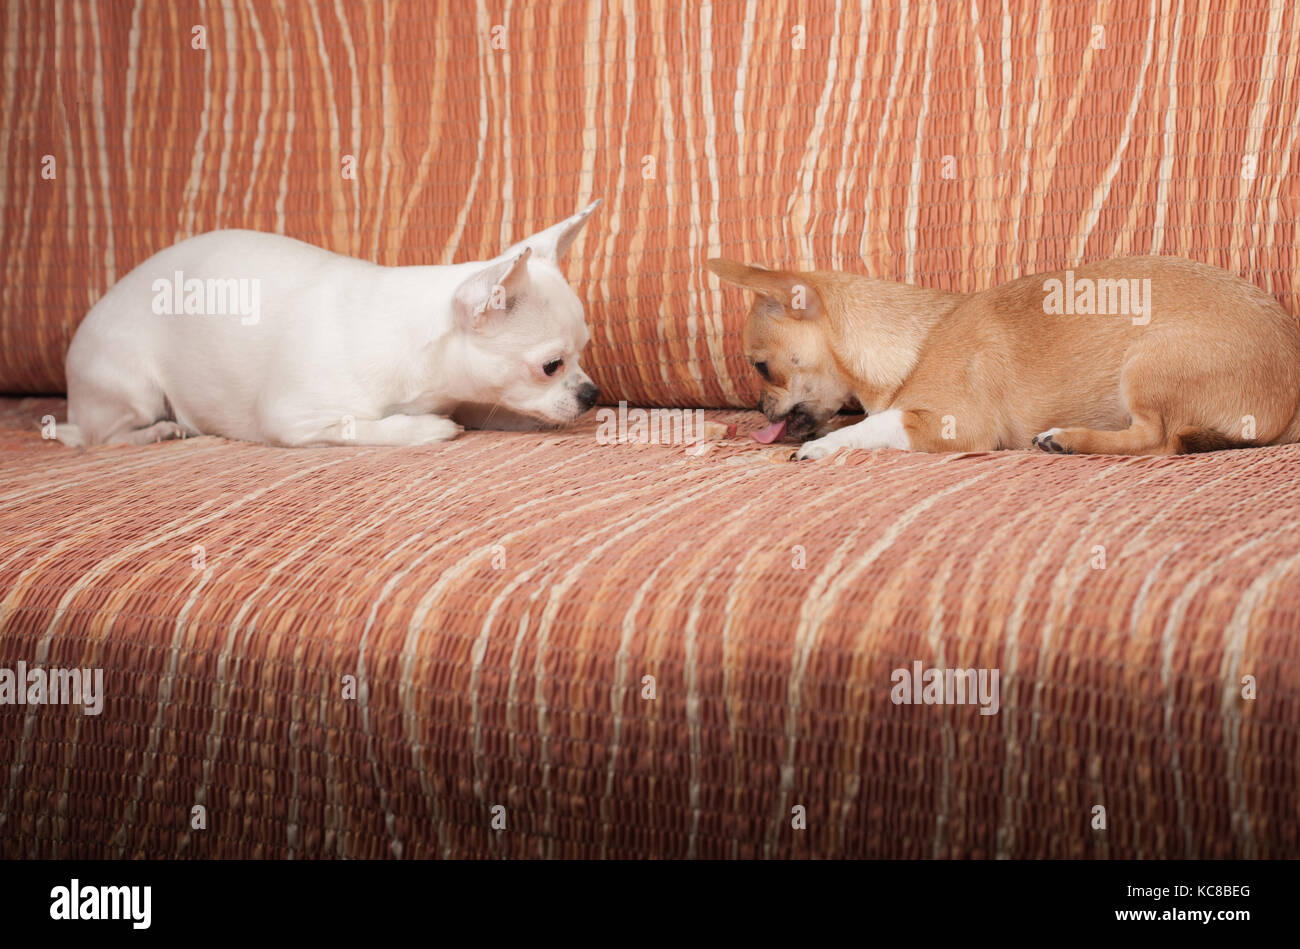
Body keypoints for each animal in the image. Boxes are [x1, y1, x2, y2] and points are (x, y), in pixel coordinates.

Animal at [50, 198, 598, 447]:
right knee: (101, 438)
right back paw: (159, 431)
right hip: (134, 390)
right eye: (551, 365)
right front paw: (428, 427)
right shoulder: (297, 419)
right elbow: (377, 427)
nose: (592, 393)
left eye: (582, 352)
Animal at [707, 253, 1300, 457]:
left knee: (1159, 440)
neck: (918, 338)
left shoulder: (951, 424)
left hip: (1149, 364)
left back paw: (1068, 439)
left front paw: (824, 447)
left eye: (761, 367)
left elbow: (873, 424)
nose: (758, 409)